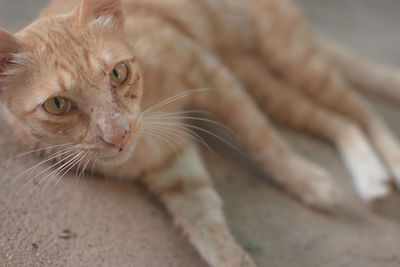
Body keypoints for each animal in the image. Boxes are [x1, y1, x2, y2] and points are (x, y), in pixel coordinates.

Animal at [0, 0, 400, 266]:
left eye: (118, 72)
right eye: (57, 105)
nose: (118, 136)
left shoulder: (209, 71)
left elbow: (264, 140)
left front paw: (306, 181)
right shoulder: (173, 166)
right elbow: (206, 224)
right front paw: (233, 257)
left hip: (293, 58)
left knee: (361, 107)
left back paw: (389, 166)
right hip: (265, 81)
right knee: (336, 119)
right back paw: (370, 178)